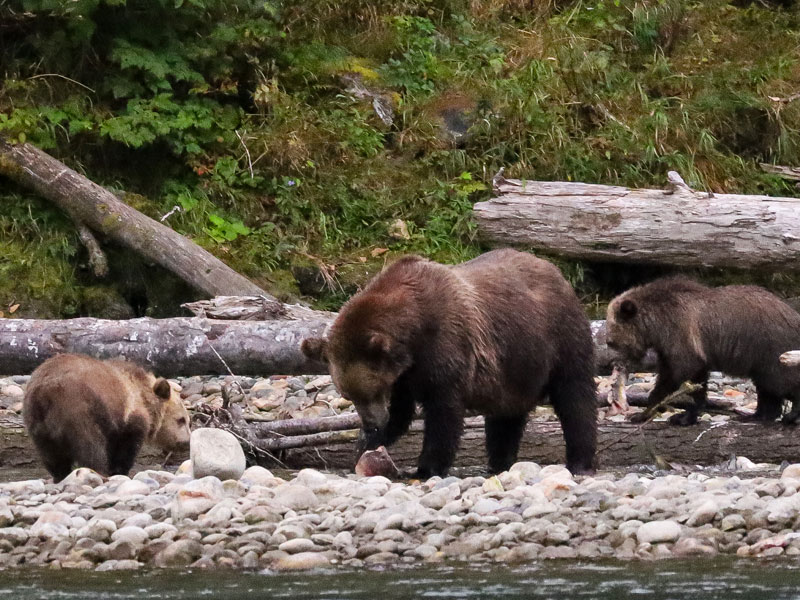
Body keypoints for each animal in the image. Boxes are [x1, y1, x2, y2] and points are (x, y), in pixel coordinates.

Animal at [23, 353, 191, 482]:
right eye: (181, 420)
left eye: (187, 421)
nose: (186, 442)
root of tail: (44, 392)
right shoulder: (127, 417)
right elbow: (125, 448)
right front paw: (119, 471)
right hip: (77, 409)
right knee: (91, 447)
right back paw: (98, 472)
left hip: (38, 423)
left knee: (51, 455)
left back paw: (61, 475)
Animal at [301, 248, 597, 478]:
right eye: (348, 395)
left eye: (373, 390)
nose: (373, 423)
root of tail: (555, 271)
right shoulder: (404, 375)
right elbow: (401, 413)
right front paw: (365, 445)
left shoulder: (445, 346)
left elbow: (443, 413)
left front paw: (426, 467)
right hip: (514, 366)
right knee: (505, 417)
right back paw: (499, 462)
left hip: (559, 336)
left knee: (575, 396)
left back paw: (580, 461)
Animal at [605, 277, 800, 426]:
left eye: (611, 342)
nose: (615, 363)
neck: (656, 326)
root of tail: (793, 314)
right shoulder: (669, 349)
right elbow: (674, 379)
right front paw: (642, 414)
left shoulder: (681, 334)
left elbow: (684, 374)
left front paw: (681, 417)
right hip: (760, 357)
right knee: (766, 386)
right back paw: (756, 416)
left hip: (771, 347)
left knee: (779, 380)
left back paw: (790, 415)